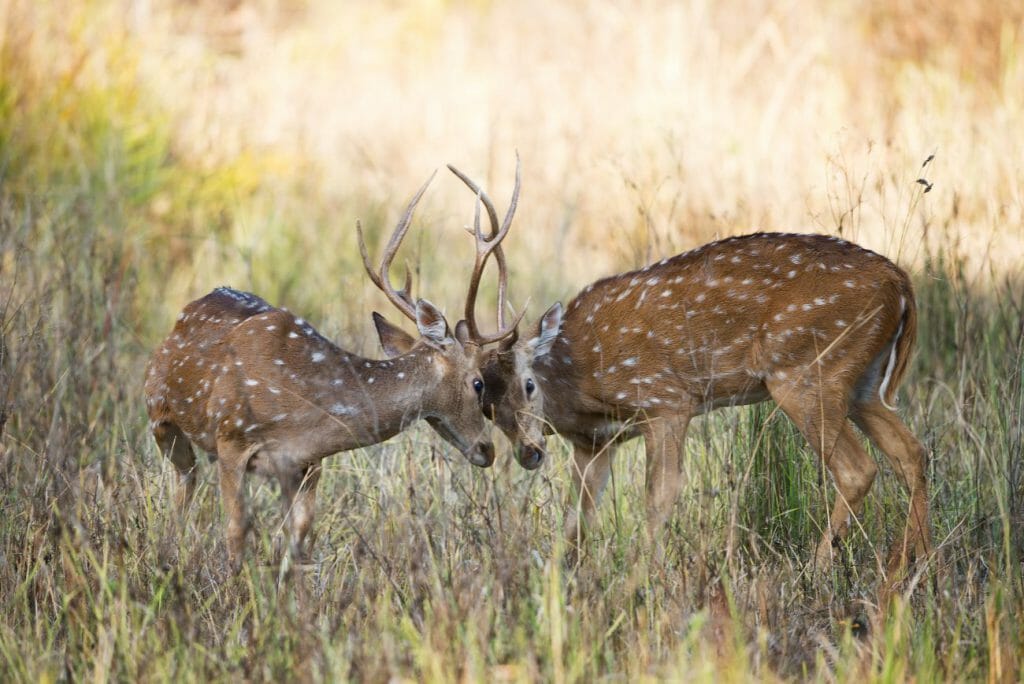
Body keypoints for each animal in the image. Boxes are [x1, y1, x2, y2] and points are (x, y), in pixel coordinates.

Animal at [144, 175, 516, 565]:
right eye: (478, 383)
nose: (488, 450)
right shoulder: (231, 438)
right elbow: (235, 531)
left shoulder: (308, 463)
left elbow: (300, 536)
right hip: (160, 415)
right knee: (184, 484)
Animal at [378, 160, 937, 573]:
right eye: (486, 401)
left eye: (529, 384)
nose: (530, 454)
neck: (583, 384)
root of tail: (902, 284)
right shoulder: (594, 443)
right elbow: (577, 520)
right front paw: (568, 581)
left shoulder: (666, 401)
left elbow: (659, 497)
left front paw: (643, 578)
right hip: (862, 380)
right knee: (912, 452)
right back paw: (915, 566)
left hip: (804, 372)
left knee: (858, 468)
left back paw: (821, 569)